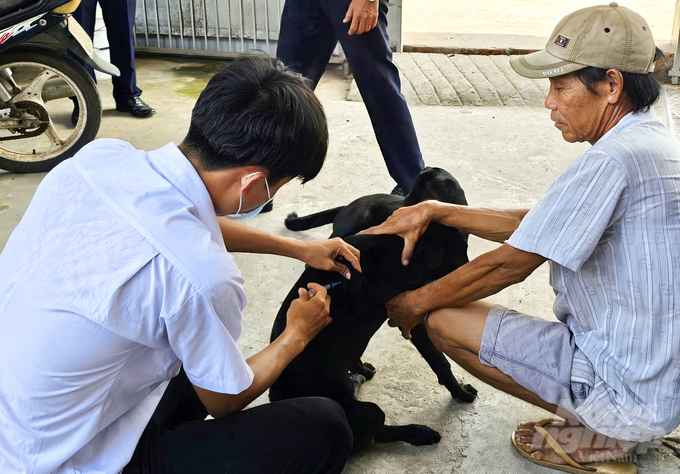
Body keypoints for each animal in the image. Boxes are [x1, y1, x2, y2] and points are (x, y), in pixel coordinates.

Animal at [270, 168, 478, 454]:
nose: (428, 170)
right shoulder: (412, 319)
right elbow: (440, 362)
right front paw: (461, 393)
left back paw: (359, 375)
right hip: (366, 412)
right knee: (373, 435)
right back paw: (418, 432)